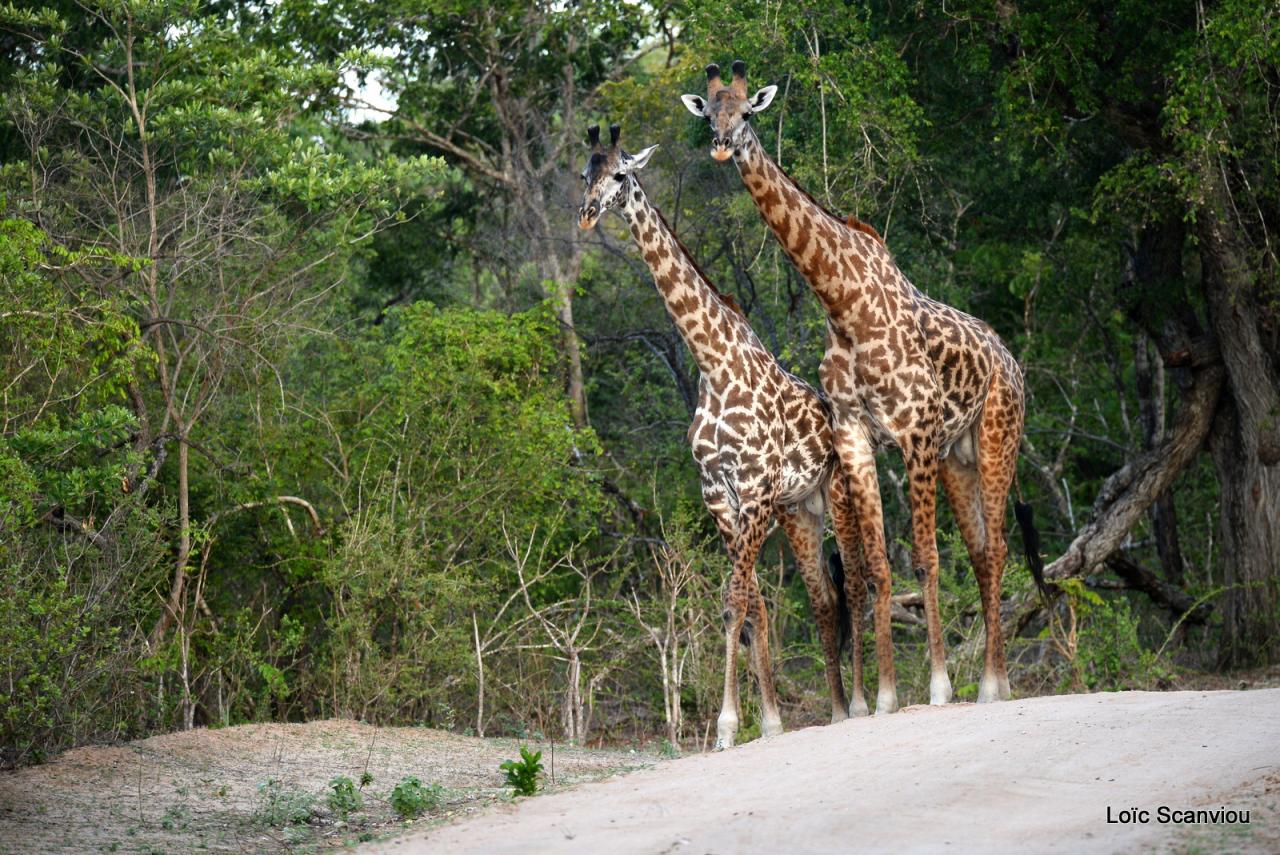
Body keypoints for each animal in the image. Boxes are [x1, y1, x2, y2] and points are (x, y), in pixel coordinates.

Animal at [576, 123, 875, 742]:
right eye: (585, 172)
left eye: (621, 174)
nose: (587, 214)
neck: (711, 361)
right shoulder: (719, 492)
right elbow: (749, 601)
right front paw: (769, 720)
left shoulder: (755, 485)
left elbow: (737, 599)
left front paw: (727, 724)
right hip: (799, 510)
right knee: (823, 597)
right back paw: (836, 709)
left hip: (837, 495)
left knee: (856, 583)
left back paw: (861, 704)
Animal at [686, 63, 1024, 711]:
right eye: (709, 112)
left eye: (747, 111)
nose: (720, 145)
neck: (842, 300)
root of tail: (1012, 362)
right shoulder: (854, 435)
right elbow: (876, 568)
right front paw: (889, 696)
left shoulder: (915, 430)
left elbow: (924, 558)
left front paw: (939, 686)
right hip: (958, 455)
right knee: (979, 550)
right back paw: (991, 683)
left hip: (999, 435)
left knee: (995, 546)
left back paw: (993, 684)